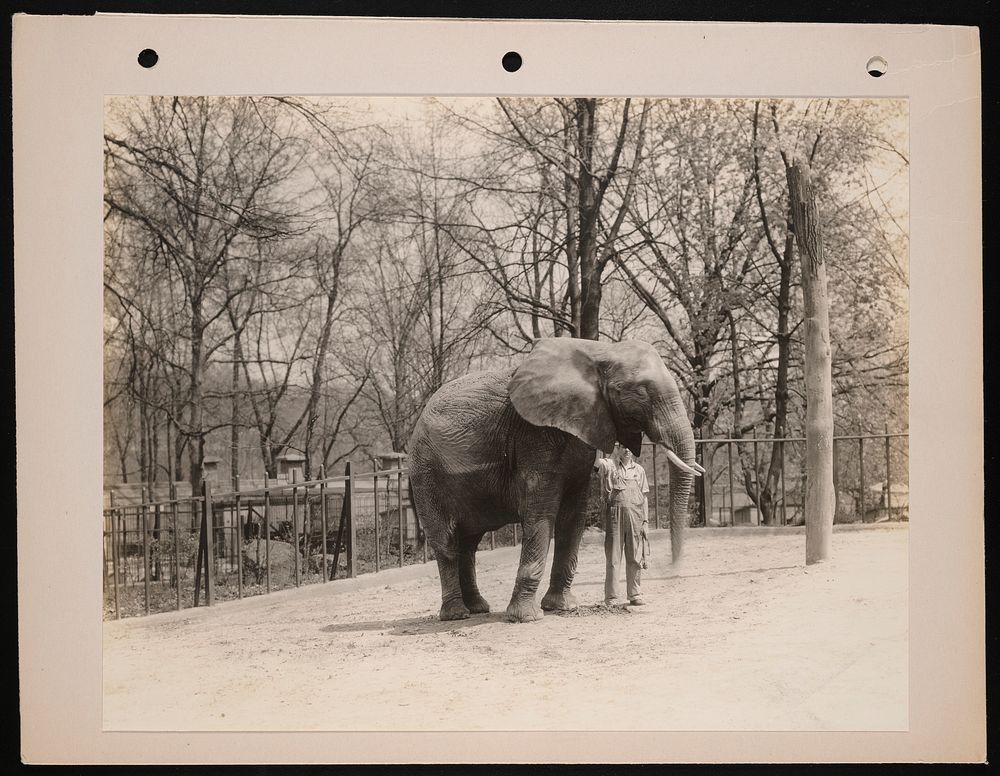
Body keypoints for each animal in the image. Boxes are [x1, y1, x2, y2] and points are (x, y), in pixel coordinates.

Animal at [406, 336, 704, 620]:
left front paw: (563, 607)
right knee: (447, 542)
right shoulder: (534, 437)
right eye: (640, 392)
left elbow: (573, 518)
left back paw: (478, 608)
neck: (600, 351)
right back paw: (456, 614)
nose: (670, 569)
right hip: (426, 474)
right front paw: (526, 618)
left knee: (469, 543)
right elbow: (541, 515)